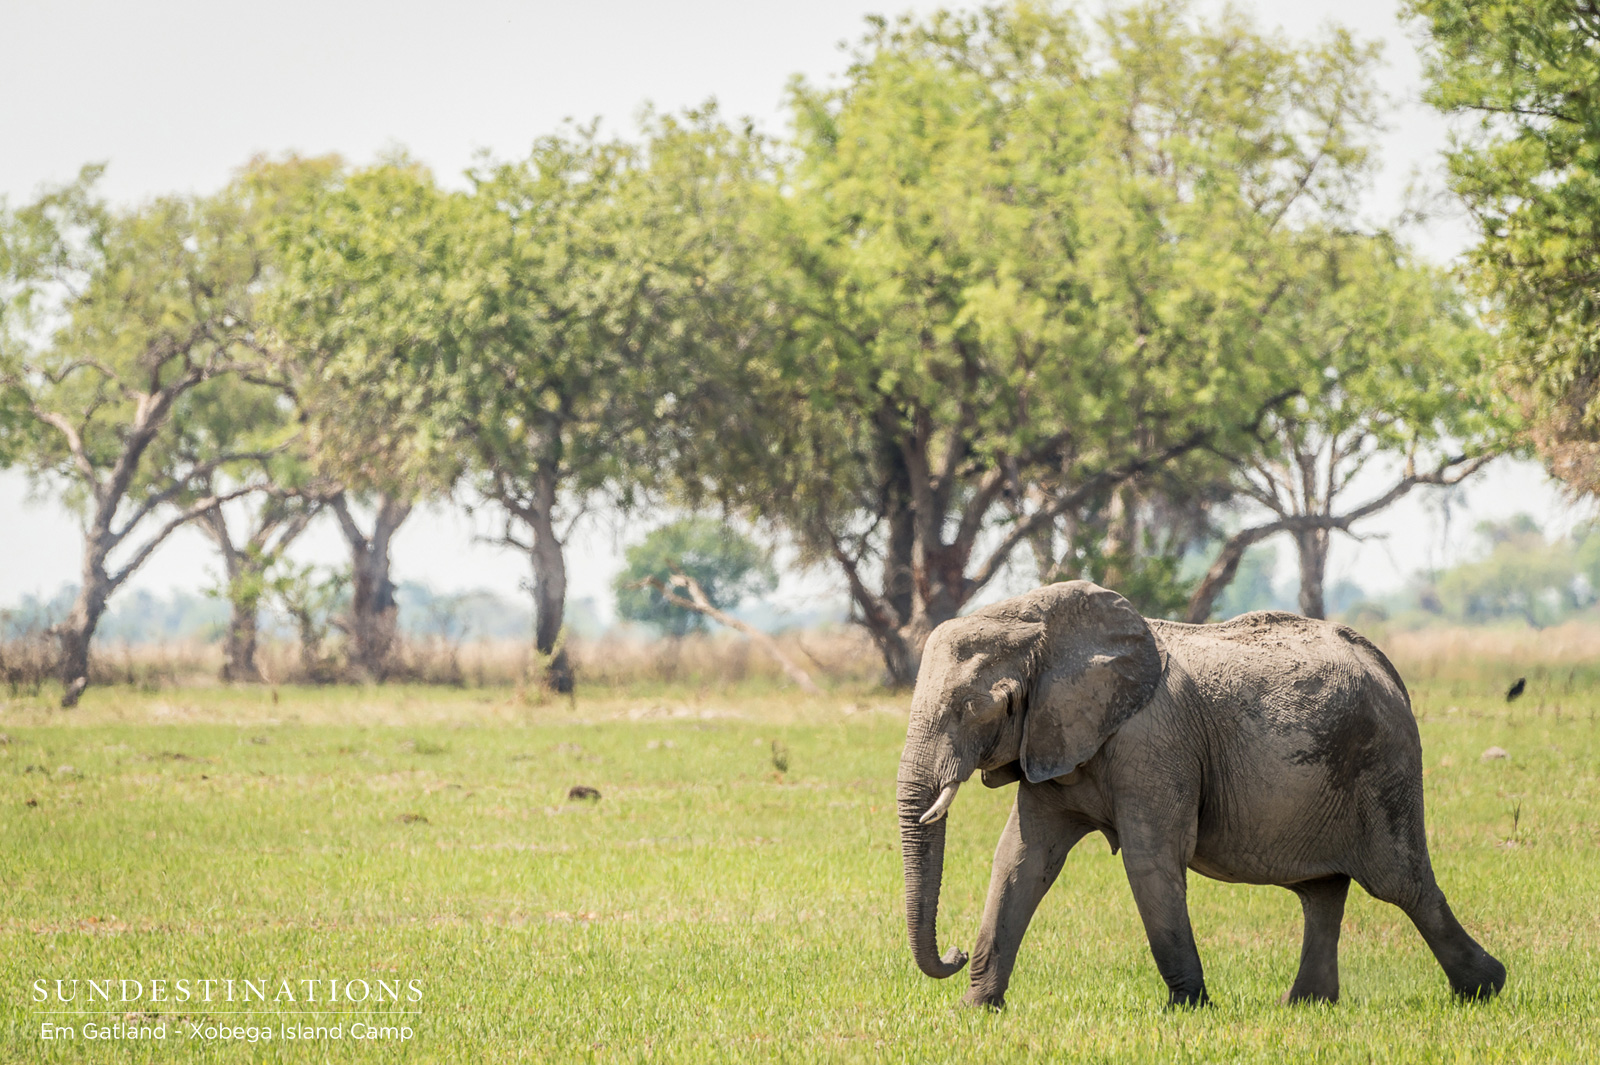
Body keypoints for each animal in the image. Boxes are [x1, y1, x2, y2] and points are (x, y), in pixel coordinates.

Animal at [897, 580, 1505, 1008]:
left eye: (978, 708)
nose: (952, 953)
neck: (1033, 618)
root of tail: (1385, 664)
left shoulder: (1152, 741)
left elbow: (1150, 858)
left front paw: (1186, 1009)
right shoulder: (1054, 738)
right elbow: (1021, 860)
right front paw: (973, 1009)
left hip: (1383, 766)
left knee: (1401, 884)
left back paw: (1485, 988)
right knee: (1323, 890)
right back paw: (1303, 1004)